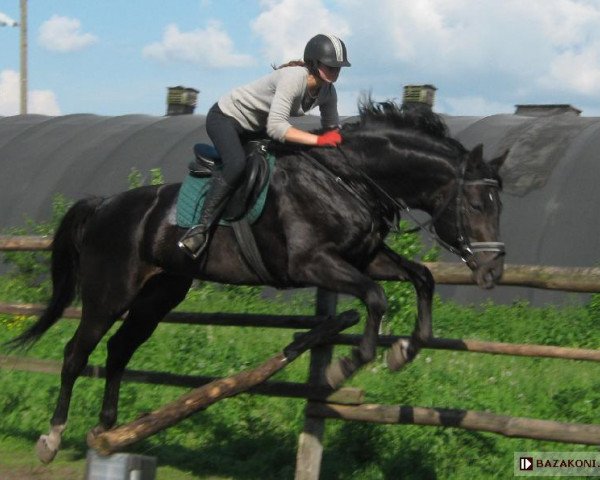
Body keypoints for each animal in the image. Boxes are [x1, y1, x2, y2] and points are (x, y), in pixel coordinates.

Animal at [9, 99, 506, 464]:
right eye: (478, 204)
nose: (493, 271)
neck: (349, 179)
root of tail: (104, 203)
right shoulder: (313, 263)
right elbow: (376, 297)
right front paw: (348, 365)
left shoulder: (365, 257)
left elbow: (421, 278)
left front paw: (405, 350)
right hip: (108, 295)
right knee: (76, 354)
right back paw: (52, 438)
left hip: (159, 295)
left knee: (118, 350)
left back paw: (108, 429)